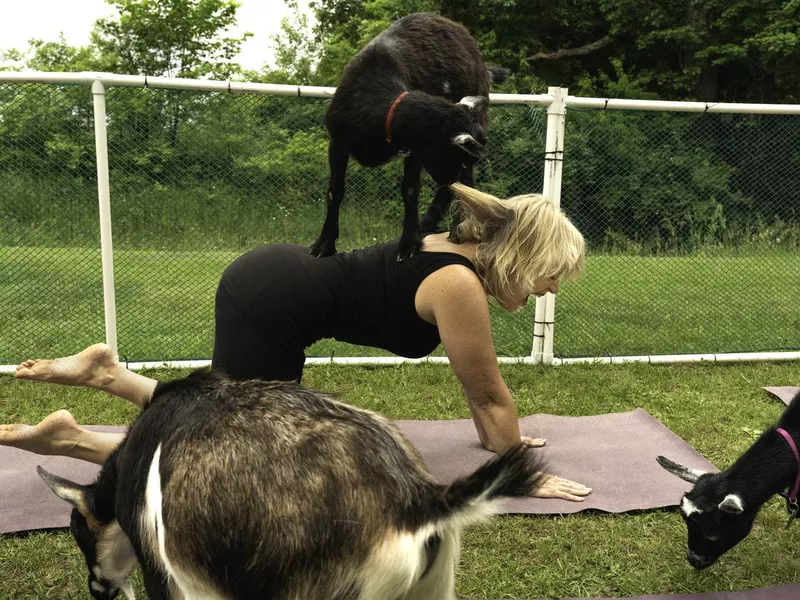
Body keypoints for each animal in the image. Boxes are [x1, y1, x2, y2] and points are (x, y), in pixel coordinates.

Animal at [310, 12, 510, 260]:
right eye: (456, 156)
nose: (449, 179)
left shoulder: (416, 150)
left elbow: (410, 189)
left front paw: (408, 244)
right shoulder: (339, 141)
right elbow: (334, 191)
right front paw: (324, 244)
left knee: (468, 184)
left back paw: (453, 225)